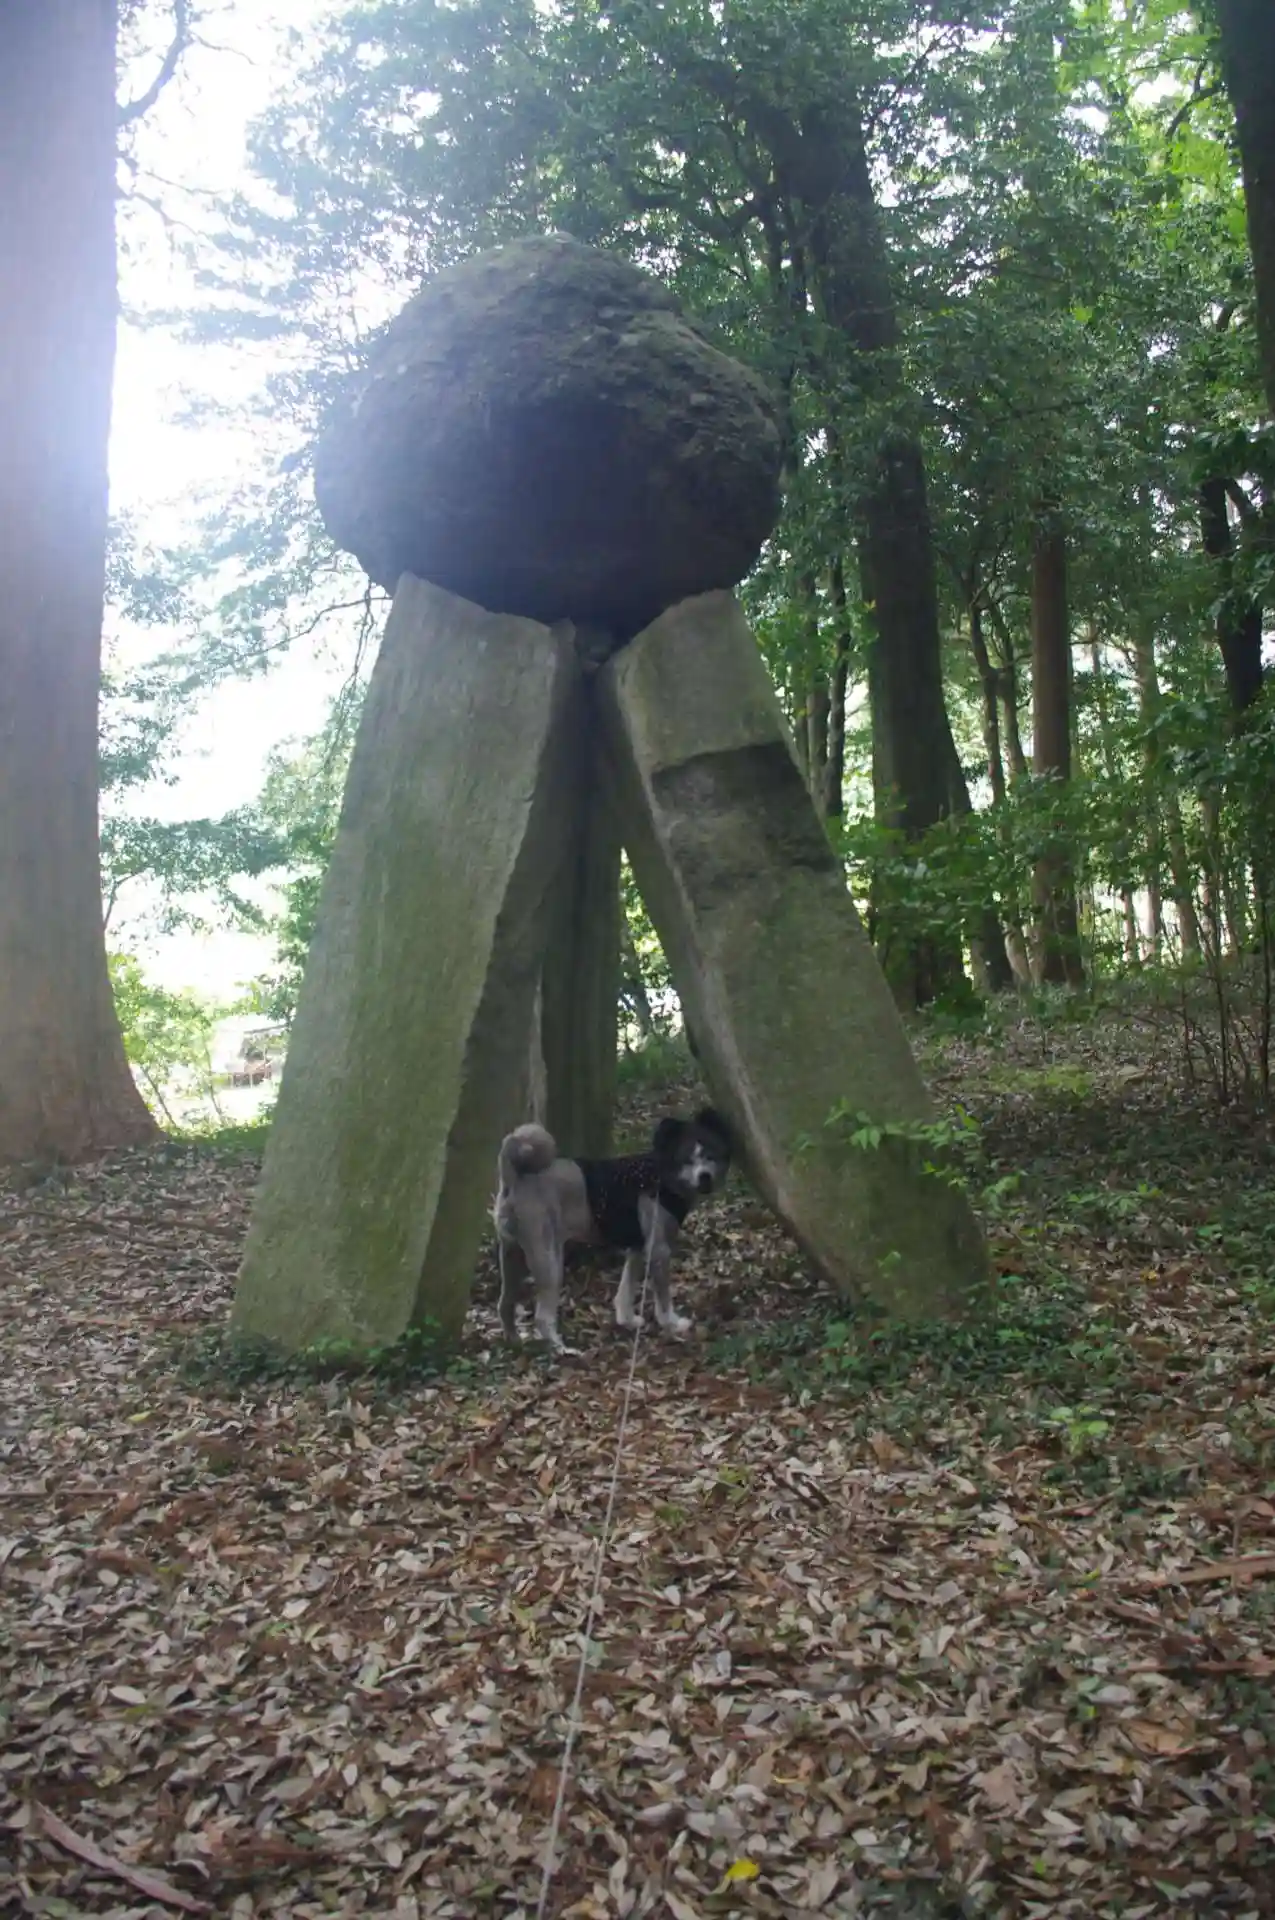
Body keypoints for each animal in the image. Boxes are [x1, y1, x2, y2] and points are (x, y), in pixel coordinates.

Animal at [493, 1108, 732, 1352]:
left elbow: (626, 1288)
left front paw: (628, 1320)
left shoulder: (638, 1249)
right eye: (687, 1160)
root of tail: (514, 1178)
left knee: (505, 1304)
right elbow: (663, 1298)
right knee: (542, 1316)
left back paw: (513, 1340)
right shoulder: (659, 1251)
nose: (704, 1177)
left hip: (512, 1256)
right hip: (547, 1260)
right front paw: (672, 1324)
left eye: (711, 1155)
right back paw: (561, 1349)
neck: (661, 1177)